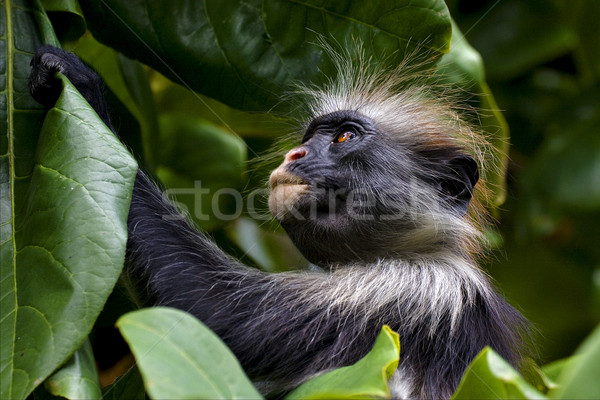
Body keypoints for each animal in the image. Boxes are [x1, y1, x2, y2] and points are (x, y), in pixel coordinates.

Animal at [29, 45, 528, 398]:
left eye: (345, 137)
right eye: (311, 137)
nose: (295, 154)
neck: (417, 251)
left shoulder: (413, 293)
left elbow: (214, 314)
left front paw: (86, 93)